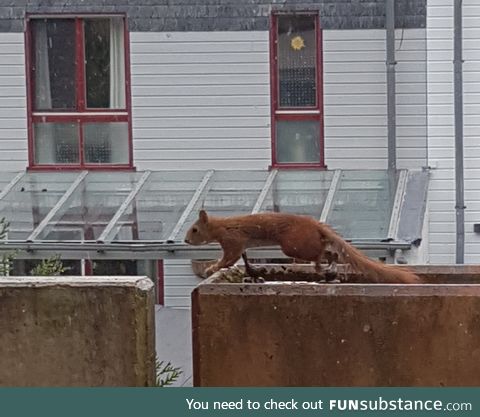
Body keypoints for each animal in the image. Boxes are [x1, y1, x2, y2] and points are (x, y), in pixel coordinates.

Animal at [184, 210, 420, 284]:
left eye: (194, 229)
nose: (186, 241)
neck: (220, 226)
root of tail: (315, 225)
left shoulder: (232, 239)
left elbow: (228, 258)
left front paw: (212, 268)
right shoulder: (240, 245)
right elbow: (241, 258)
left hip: (293, 246)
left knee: (321, 251)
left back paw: (320, 265)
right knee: (330, 251)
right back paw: (327, 266)